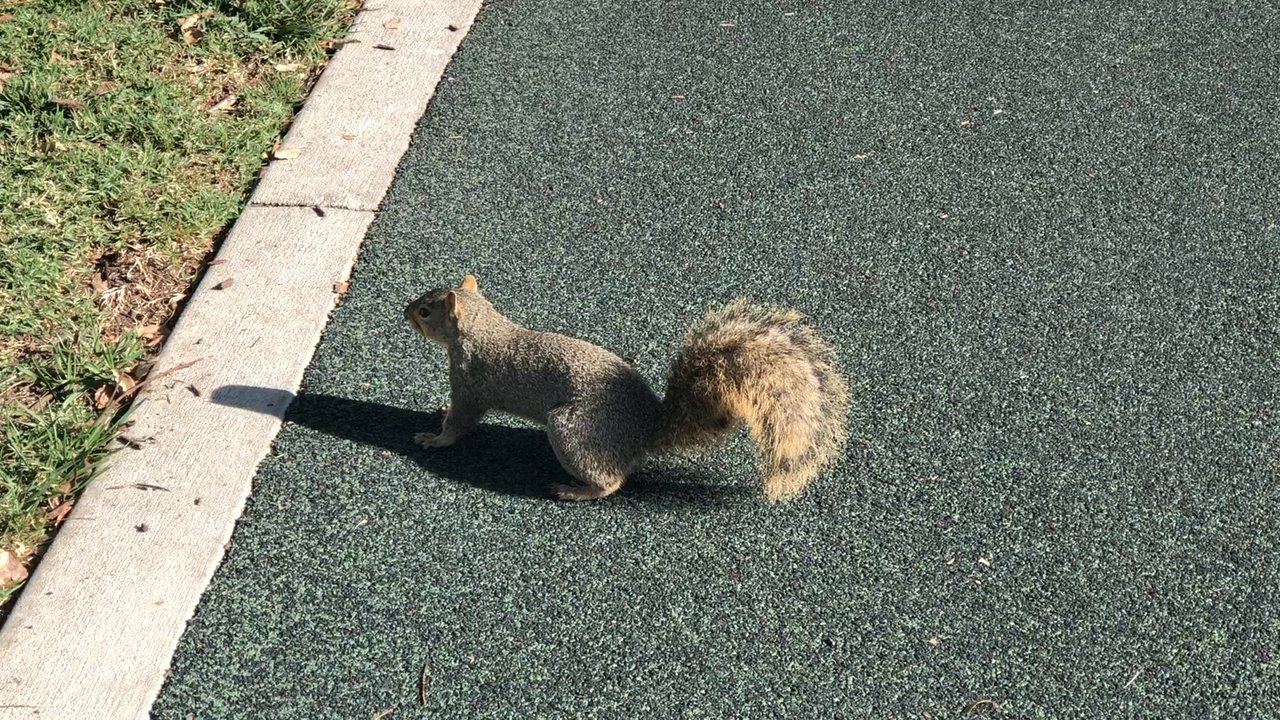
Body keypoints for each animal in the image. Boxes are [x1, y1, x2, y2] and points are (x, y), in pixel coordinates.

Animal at [403, 275, 849, 502]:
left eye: (425, 311)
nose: (404, 312)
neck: (482, 326)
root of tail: (646, 427)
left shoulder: (470, 381)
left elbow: (462, 421)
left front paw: (434, 438)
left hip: (572, 430)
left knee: (612, 482)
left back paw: (576, 490)